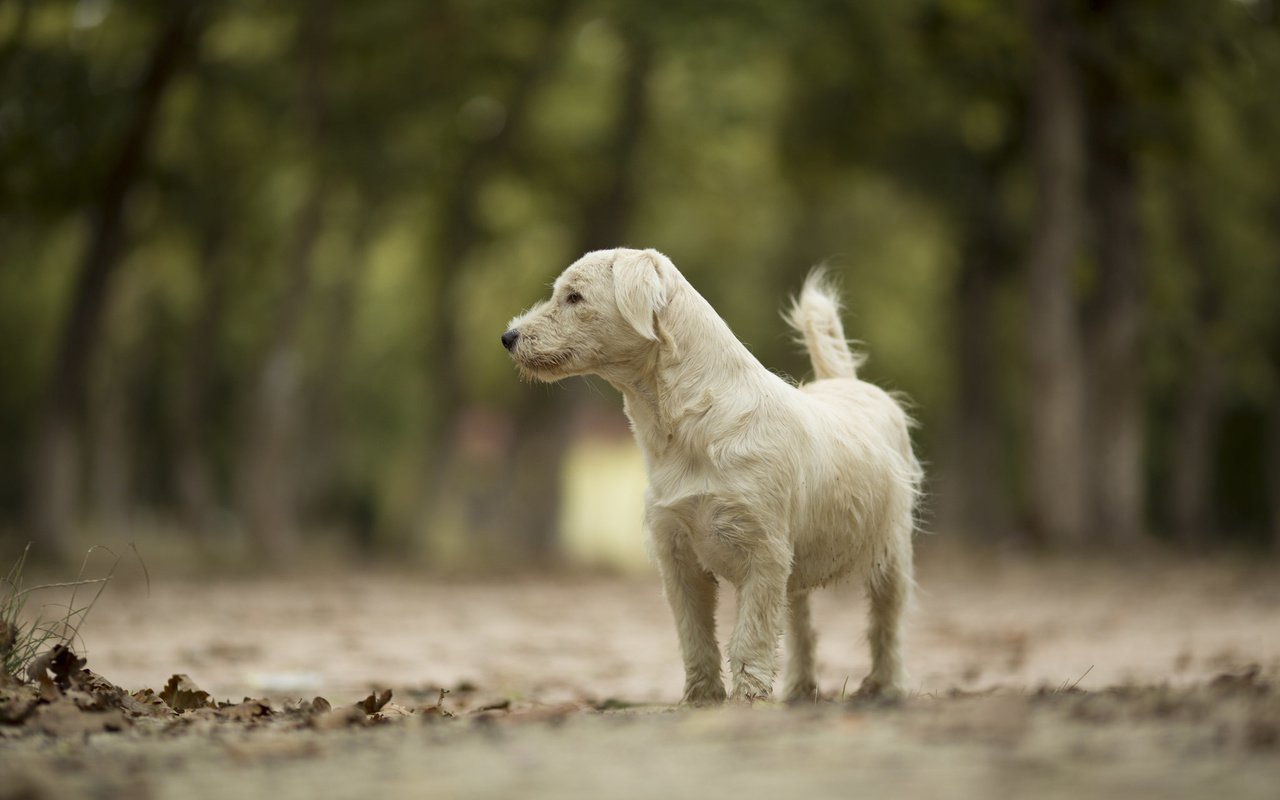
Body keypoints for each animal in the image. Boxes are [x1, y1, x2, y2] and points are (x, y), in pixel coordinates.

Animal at [499, 247, 921, 701]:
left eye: (574, 297)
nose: (508, 337)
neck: (691, 421)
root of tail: (848, 383)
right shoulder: (678, 556)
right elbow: (695, 636)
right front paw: (702, 698)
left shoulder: (764, 556)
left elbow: (750, 637)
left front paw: (748, 698)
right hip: (801, 571)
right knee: (802, 627)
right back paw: (800, 690)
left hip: (891, 555)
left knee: (886, 623)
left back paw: (885, 686)